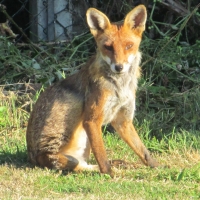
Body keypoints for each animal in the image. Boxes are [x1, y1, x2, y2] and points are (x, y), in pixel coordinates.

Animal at [25, 4, 159, 177]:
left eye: (129, 46)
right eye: (108, 47)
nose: (119, 67)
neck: (120, 87)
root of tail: (32, 158)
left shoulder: (123, 120)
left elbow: (143, 151)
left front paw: (157, 167)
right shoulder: (92, 120)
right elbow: (102, 155)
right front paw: (110, 175)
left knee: (86, 165)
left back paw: (119, 164)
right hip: (69, 152)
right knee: (79, 167)